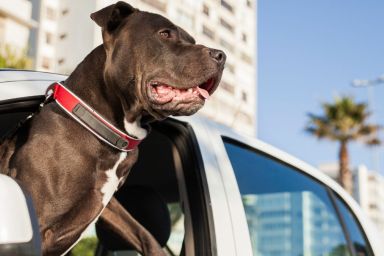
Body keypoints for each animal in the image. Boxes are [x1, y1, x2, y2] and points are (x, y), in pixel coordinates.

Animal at [0, 2, 225, 256]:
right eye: (165, 34)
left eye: (192, 40)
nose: (221, 55)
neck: (100, 127)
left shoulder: (108, 203)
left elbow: (142, 232)